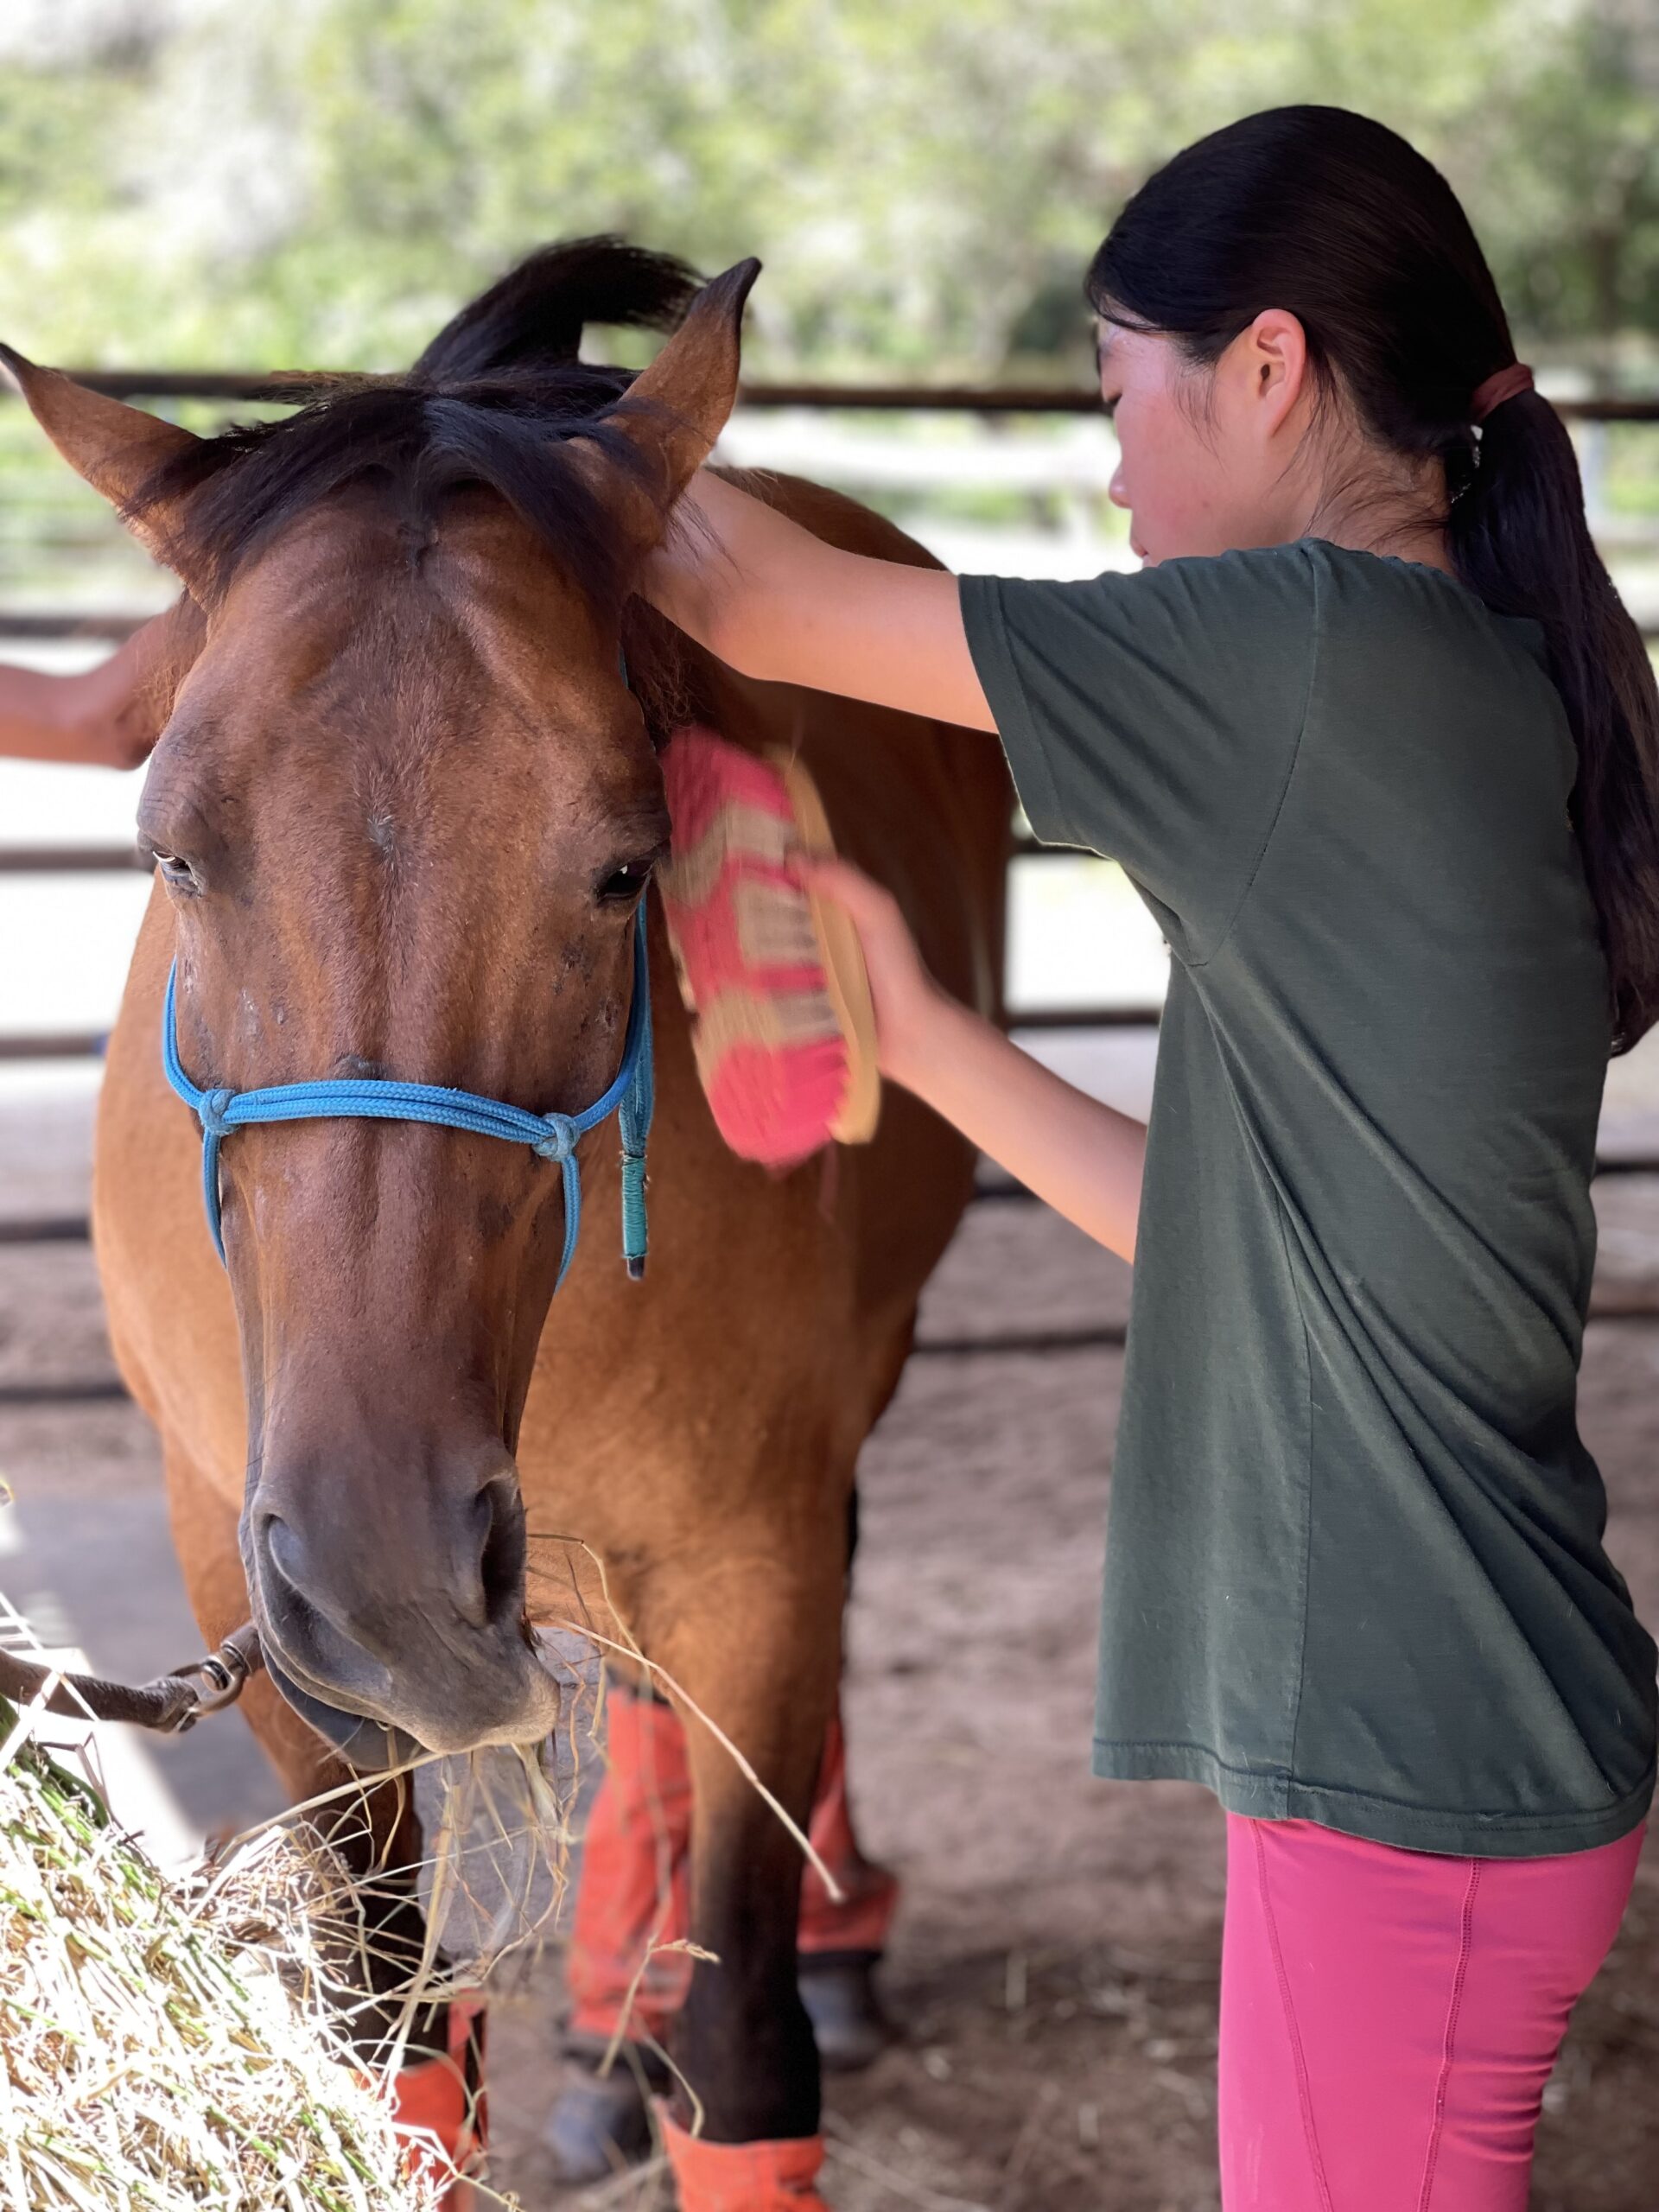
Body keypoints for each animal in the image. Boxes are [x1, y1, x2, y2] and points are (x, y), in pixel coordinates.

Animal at [3, 242, 1013, 2177]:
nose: (389, 1572)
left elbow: (748, 2056)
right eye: (173, 849)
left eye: (625, 859)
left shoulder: (753, 1564)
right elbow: (398, 2043)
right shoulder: (258, 1608)